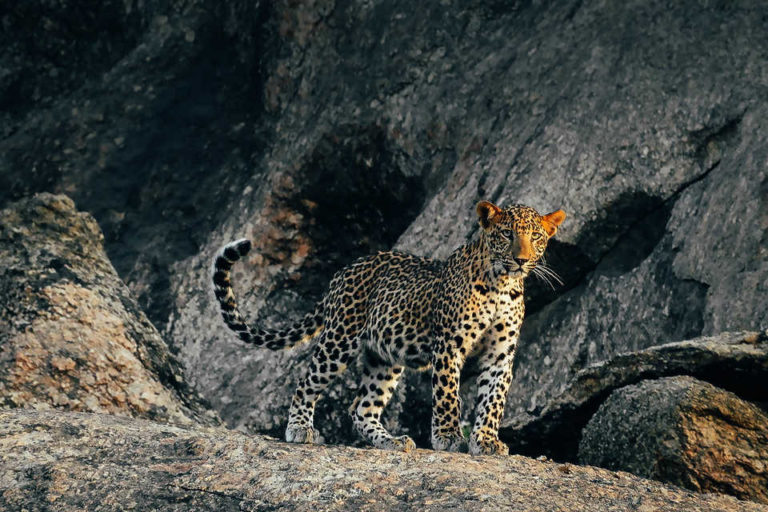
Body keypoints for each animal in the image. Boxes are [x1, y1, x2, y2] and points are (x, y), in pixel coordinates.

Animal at [212, 200, 564, 456]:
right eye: (506, 234)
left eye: (536, 237)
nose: (521, 260)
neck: (503, 284)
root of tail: (345, 270)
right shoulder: (449, 345)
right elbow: (448, 394)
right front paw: (448, 437)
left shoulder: (500, 354)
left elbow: (494, 399)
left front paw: (487, 440)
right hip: (340, 339)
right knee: (307, 383)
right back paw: (299, 428)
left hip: (384, 358)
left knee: (361, 408)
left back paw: (392, 442)